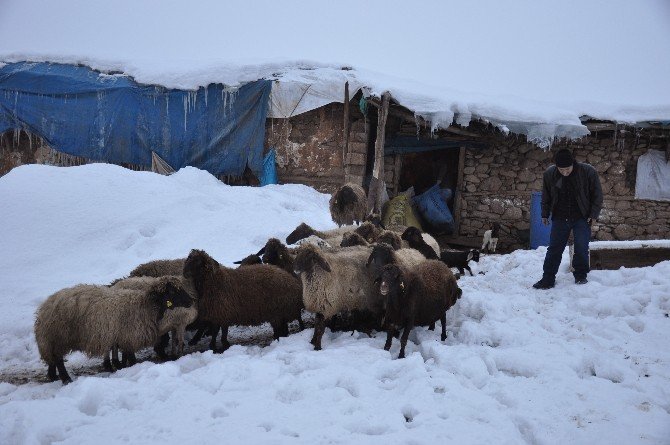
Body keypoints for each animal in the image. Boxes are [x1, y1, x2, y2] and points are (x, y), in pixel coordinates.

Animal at [34, 274, 194, 382]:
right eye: (172, 291)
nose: (191, 301)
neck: (145, 306)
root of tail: (44, 308)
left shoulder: (123, 336)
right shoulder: (129, 336)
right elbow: (131, 357)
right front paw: (132, 368)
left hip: (51, 339)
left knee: (52, 358)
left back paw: (53, 376)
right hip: (59, 336)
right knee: (58, 359)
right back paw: (66, 379)